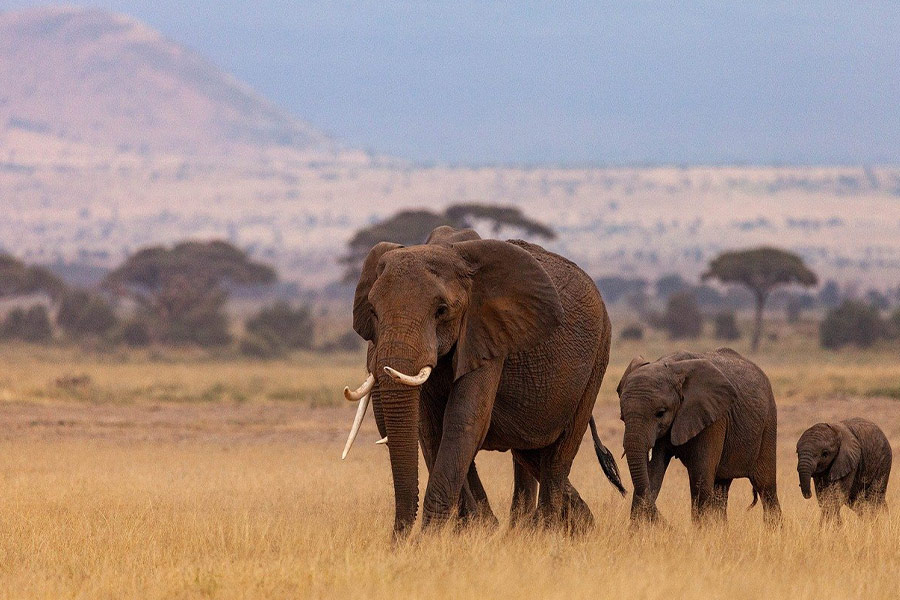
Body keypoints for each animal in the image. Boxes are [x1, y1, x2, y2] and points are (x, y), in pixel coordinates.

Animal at [340, 226, 624, 536]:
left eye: (441, 310)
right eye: (373, 311)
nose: (397, 541)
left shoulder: (487, 334)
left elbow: (464, 421)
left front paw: (431, 538)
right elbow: (431, 429)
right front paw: (472, 530)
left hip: (598, 356)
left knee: (559, 455)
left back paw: (546, 531)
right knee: (529, 452)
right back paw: (566, 525)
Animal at [616, 348, 782, 526]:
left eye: (660, 413)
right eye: (622, 417)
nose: (670, 525)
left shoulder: (713, 417)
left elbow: (700, 477)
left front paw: (701, 531)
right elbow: (653, 473)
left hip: (768, 423)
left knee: (765, 486)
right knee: (721, 487)